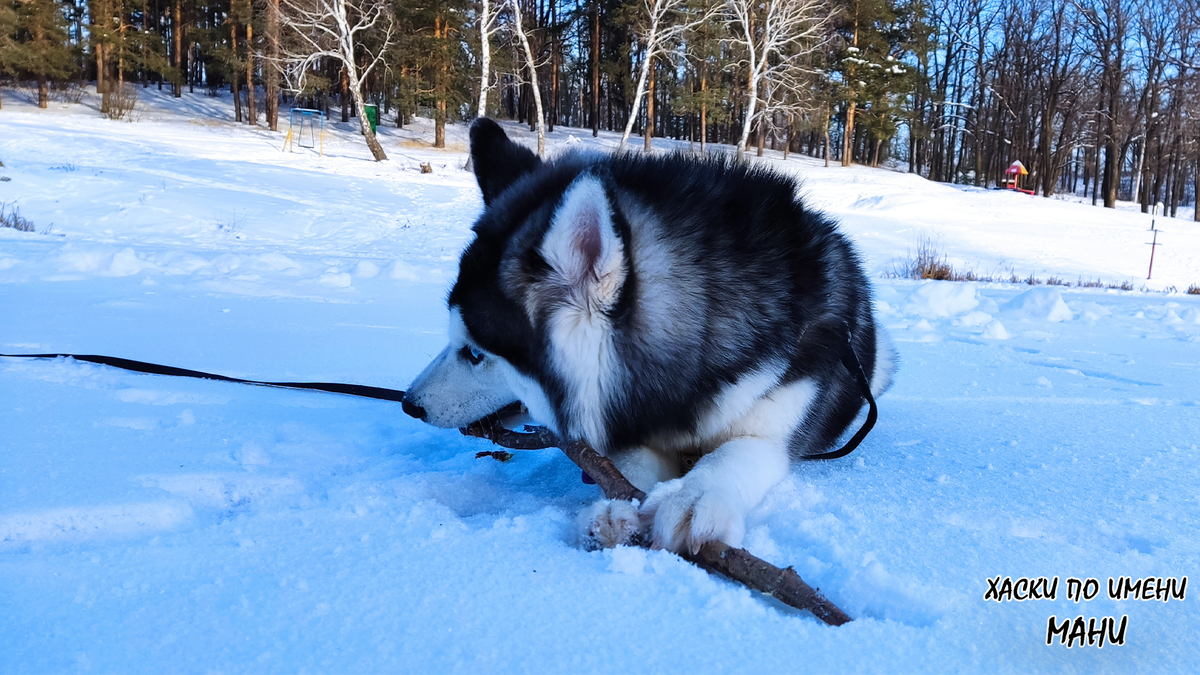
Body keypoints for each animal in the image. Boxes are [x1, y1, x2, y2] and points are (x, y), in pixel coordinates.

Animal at [403, 119, 892, 552]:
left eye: (475, 354)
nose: (409, 405)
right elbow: (629, 464)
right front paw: (620, 506)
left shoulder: (777, 415)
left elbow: (734, 454)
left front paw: (693, 497)